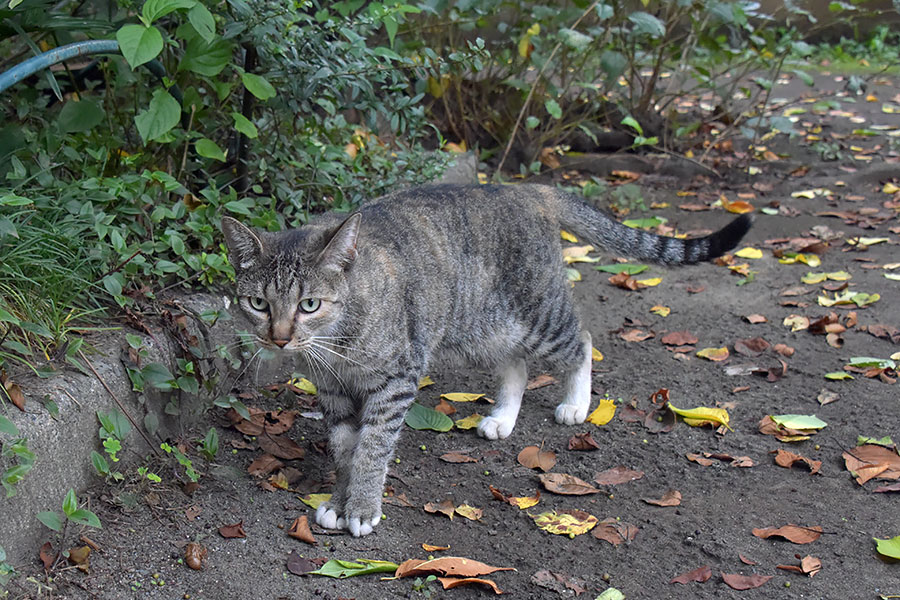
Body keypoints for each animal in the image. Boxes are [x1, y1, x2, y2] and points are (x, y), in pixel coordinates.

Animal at [221, 182, 748, 536]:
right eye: (259, 304)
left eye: (310, 305)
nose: (279, 338)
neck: (338, 342)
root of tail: (529, 188)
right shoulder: (332, 391)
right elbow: (345, 448)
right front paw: (339, 497)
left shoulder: (395, 382)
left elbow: (372, 448)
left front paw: (363, 507)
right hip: (484, 328)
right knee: (515, 366)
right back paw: (503, 416)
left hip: (537, 317)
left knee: (581, 340)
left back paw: (576, 402)